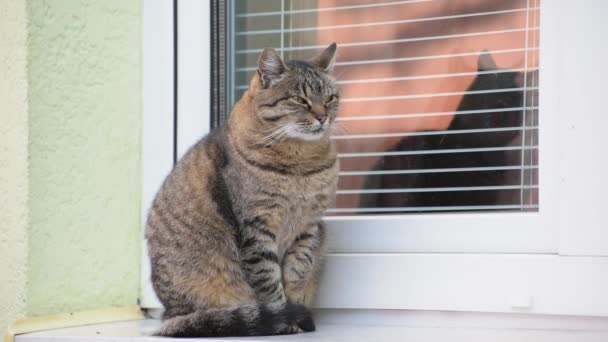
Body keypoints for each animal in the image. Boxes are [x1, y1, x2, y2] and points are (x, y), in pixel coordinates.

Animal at [145, 43, 340, 336]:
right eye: (299, 100)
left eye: (329, 98)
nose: (322, 117)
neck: (301, 163)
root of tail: (168, 315)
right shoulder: (255, 228)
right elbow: (269, 283)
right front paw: (285, 319)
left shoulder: (309, 225)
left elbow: (297, 270)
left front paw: (296, 308)